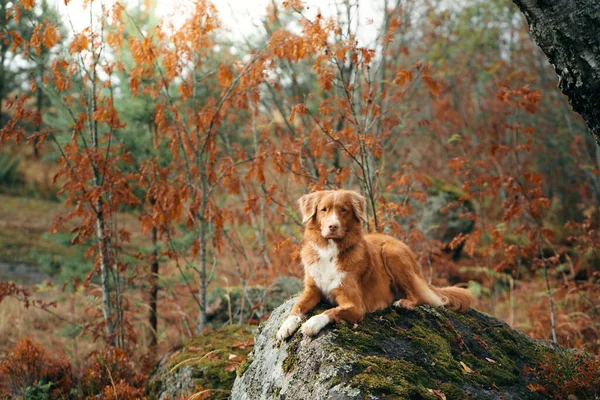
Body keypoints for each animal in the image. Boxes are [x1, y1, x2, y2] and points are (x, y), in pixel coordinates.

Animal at [276, 189, 474, 340]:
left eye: (344, 210)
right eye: (324, 210)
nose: (333, 226)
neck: (330, 252)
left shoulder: (356, 306)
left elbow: (330, 312)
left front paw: (312, 323)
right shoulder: (312, 289)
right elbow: (297, 307)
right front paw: (285, 326)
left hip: (392, 253)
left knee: (419, 296)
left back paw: (403, 303)